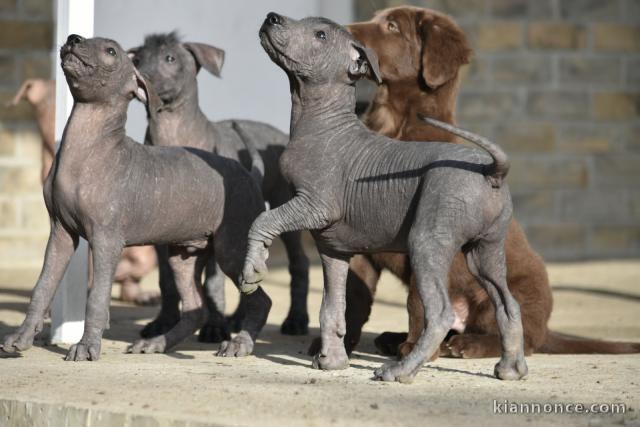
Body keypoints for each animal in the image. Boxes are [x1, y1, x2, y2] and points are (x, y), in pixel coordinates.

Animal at [0, 34, 270, 362]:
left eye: (111, 51)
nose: (73, 38)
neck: (88, 147)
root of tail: (249, 173)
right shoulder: (61, 233)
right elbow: (42, 286)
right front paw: (22, 338)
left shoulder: (107, 240)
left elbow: (97, 297)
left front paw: (87, 347)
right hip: (183, 254)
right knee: (196, 308)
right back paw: (156, 344)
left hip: (232, 249)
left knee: (260, 301)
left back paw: (239, 344)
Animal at [128, 32, 310, 348]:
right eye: (137, 59)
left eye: (170, 58)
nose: (140, 77)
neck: (173, 132)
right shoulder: (162, 233)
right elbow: (167, 280)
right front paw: (163, 322)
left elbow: (213, 282)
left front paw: (214, 328)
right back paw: (238, 317)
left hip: (283, 208)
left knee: (299, 264)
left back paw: (295, 320)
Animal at [242, 12, 528, 382]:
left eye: (320, 35)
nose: (271, 16)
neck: (321, 121)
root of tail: (490, 170)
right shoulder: (333, 249)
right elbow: (332, 308)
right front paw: (333, 360)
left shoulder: (314, 206)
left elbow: (263, 219)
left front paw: (252, 271)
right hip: (485, 250)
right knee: (508, 303)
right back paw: (512, 368)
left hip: (428, 242)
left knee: (440, 313)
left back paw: (401, 369)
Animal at [318, 5, 636, 362]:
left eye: (392, 26)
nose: (337, 30)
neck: (394, 128)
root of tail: (547, 328)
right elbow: (351, 296)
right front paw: (335, 347)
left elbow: (417, 300)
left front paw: (416, 350)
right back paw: (398, 338)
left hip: (502, 290)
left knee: (518, 336)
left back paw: (464, 345)